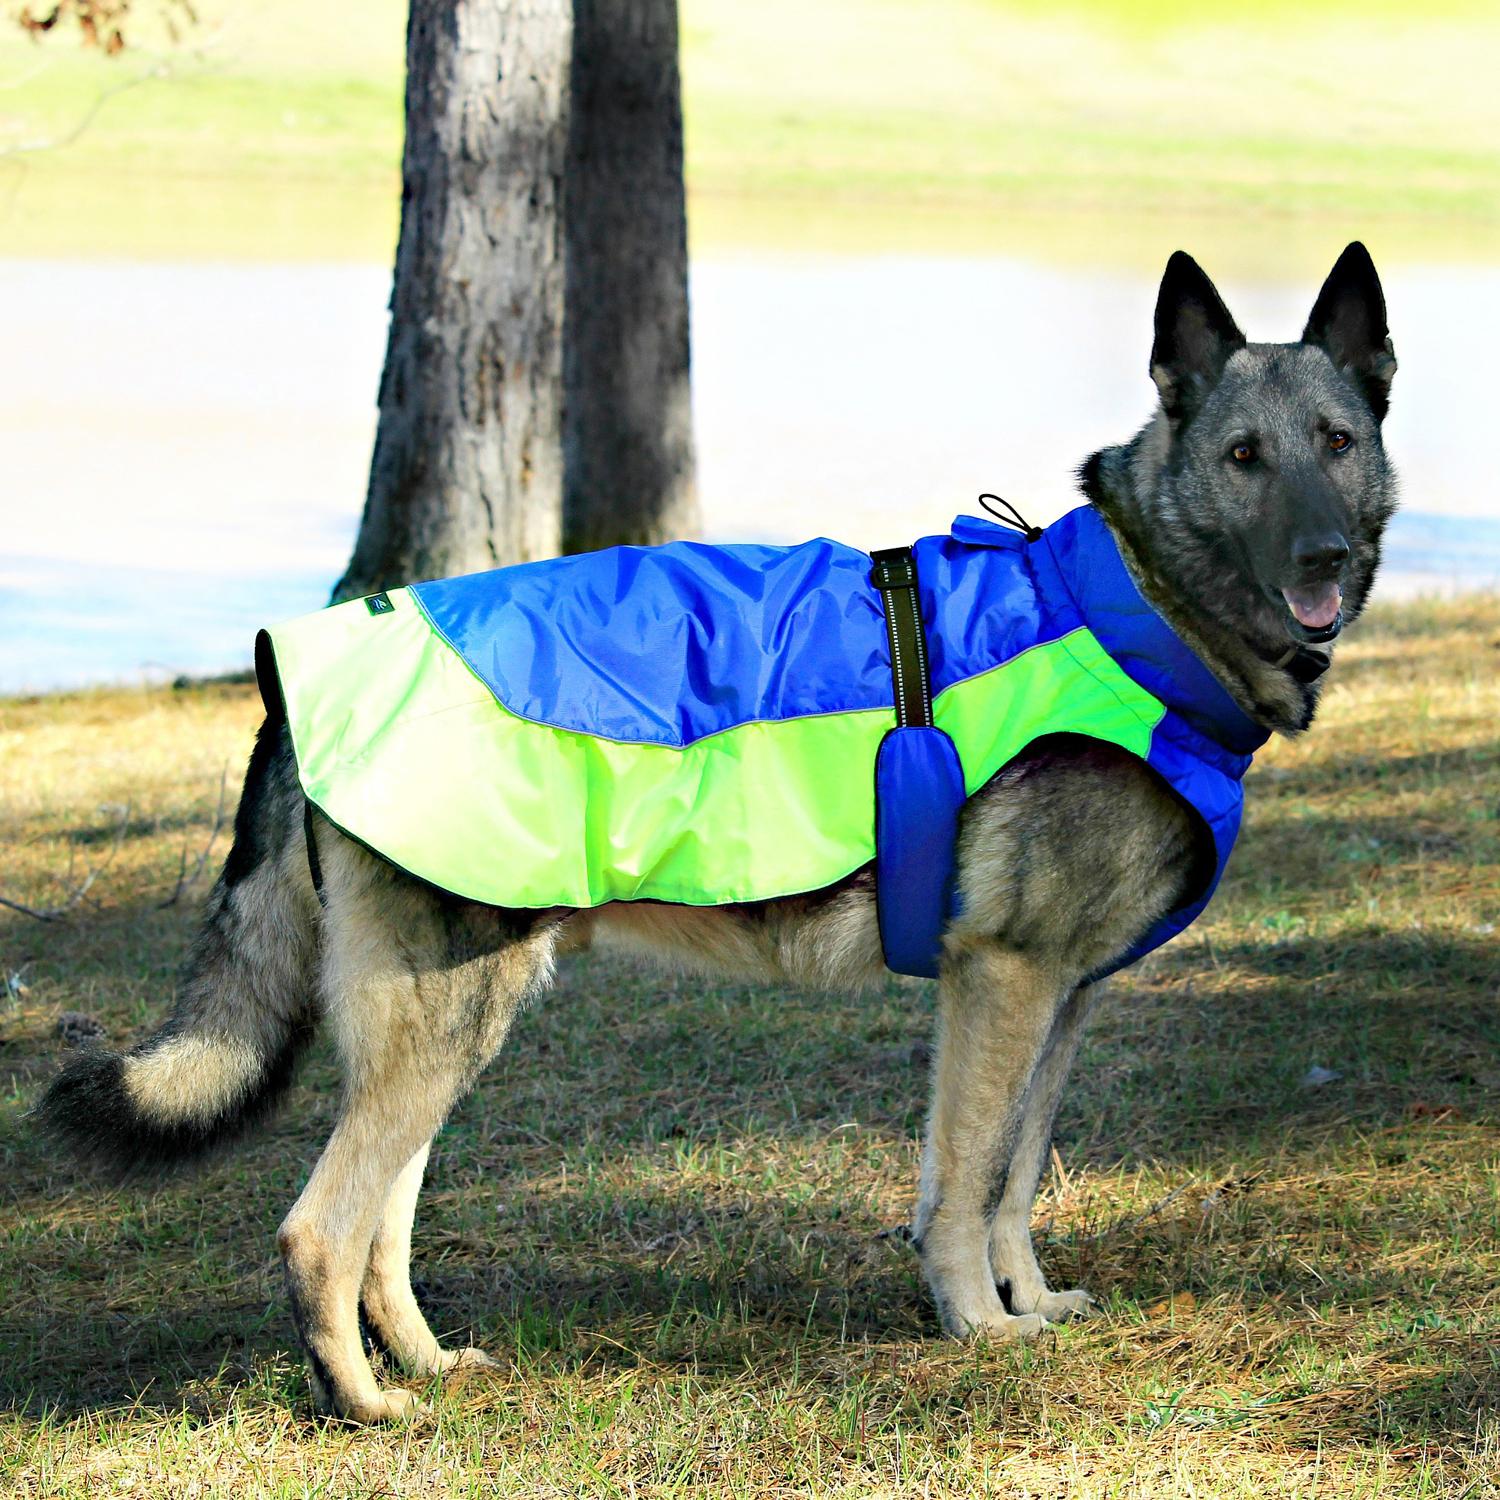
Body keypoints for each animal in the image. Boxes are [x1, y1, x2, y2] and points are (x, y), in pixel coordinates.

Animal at [35, 244, 1397, 1423]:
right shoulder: (1000, 986)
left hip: (442, 1031)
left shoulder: (1061, 1001)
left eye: (1336, 444)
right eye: (1243, 457)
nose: (1325, 557)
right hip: (443, 1024)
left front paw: (1028, 1302)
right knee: (321, 1228)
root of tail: (293, 673)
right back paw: (365, 1406)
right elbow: (962, 1181)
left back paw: (422, 1368)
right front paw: (974, 1326)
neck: (1127, 604)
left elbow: (1013, 1176)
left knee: (383, 1226)